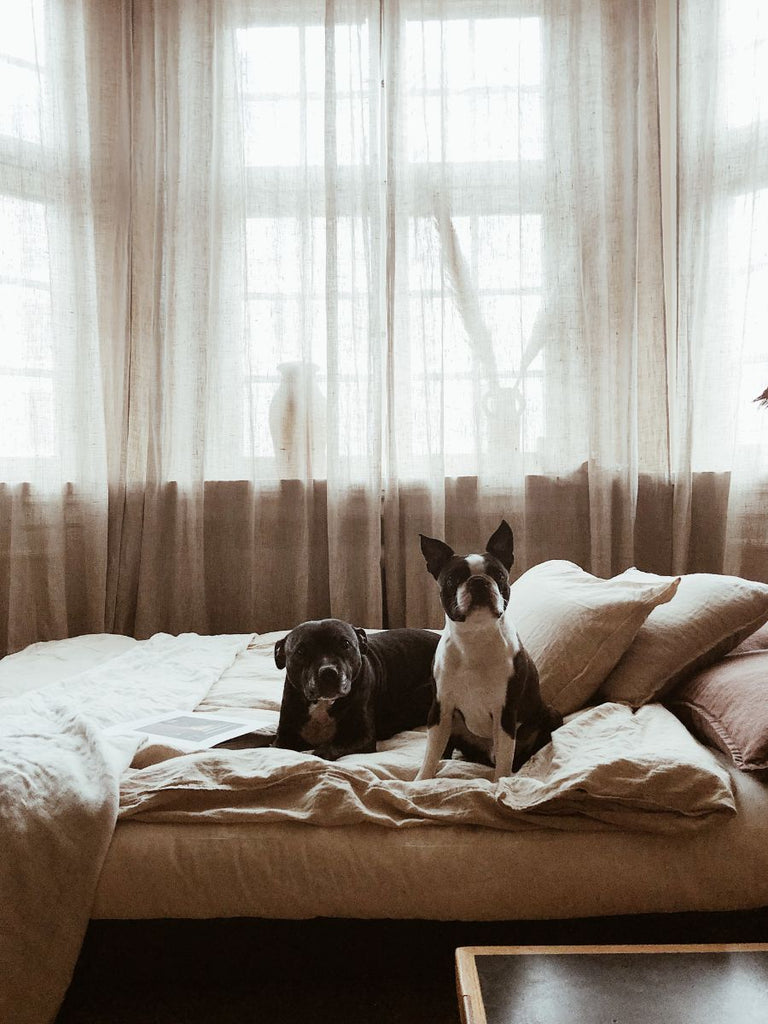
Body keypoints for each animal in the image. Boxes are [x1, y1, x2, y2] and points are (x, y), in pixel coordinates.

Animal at [273, 618, 440, 760]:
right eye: (301, 651)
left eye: (345, 644)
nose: (328, 672)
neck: (323, 703)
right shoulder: (284, 738)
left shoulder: (361, 737)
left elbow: (324, 751)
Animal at [415, 520, 562, 781]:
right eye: (452, 579)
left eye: (499, 575)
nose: (478, 581)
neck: (475, 638)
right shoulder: (441, 709)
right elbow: (431, 753)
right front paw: (421, 781)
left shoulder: (505, 712)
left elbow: (504, 758)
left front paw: (501, 783)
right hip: (454, 724)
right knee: (447, 748)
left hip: (551, 715)